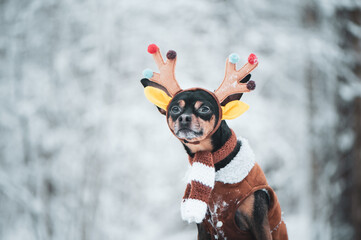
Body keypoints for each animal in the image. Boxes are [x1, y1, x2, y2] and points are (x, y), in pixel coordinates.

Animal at [140, 44, 286, 239]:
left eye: (205, 109)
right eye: (175, 109)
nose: (184, 118)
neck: (215, 163)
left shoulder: (259, 224)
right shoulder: (204, 226)